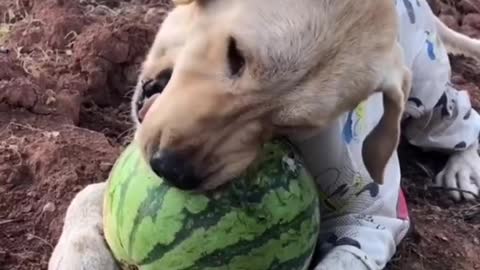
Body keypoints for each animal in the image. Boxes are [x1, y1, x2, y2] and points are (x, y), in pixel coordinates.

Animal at [47, 0, 480, 268]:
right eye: (235, 54)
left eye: (293, 126)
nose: (172, 170)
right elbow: (87, 193)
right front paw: (80, 256)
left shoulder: (372, 221)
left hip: (424, 97)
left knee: (463, 112)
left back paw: (461, 170)